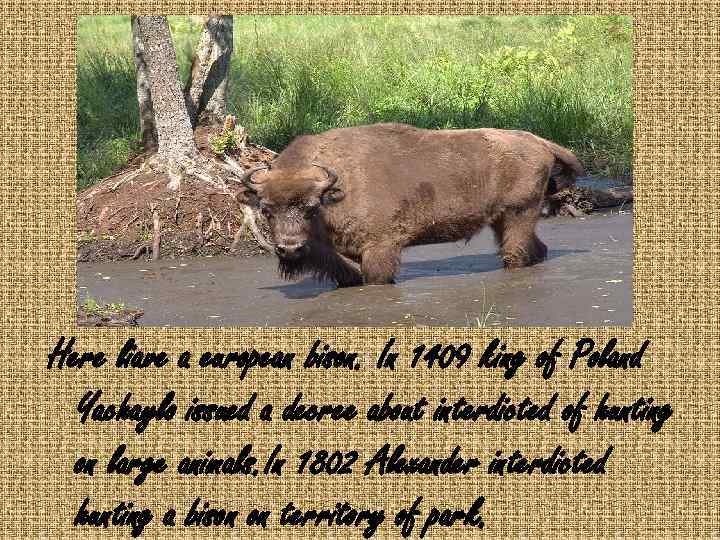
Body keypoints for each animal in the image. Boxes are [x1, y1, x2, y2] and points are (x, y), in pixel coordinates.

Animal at [238, 123, 584, 287]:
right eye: (266, 209)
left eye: (311, 207)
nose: (289, 249)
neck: (336, 188)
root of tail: (538, 141)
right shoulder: (336, 254)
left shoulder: (380, 248)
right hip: (504, 219)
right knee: (535, 248)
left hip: (518, 215)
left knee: (516, 253)